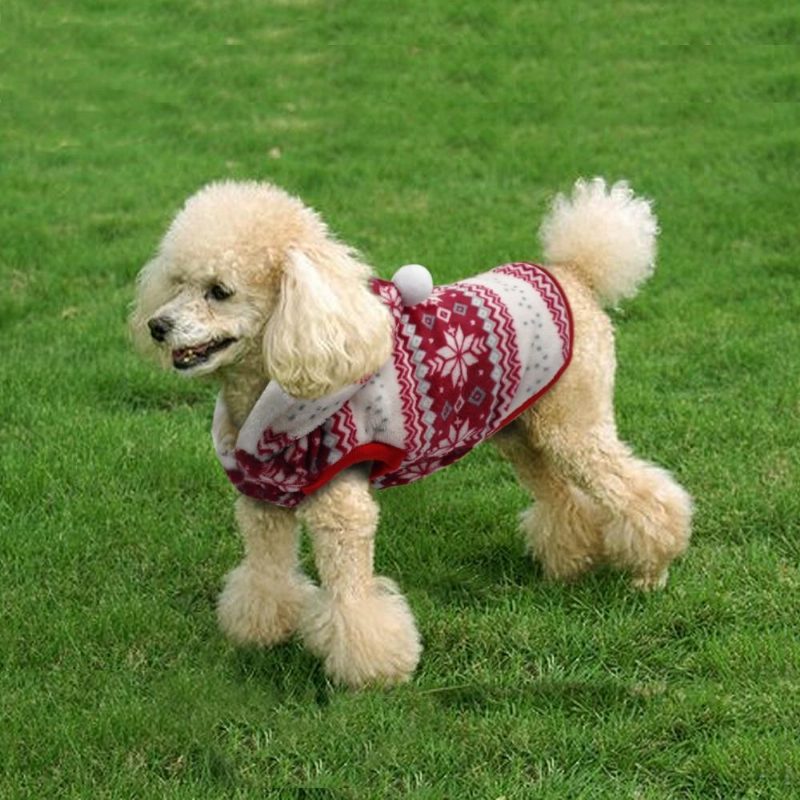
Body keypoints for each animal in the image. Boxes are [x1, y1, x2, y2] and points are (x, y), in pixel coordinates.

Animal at [131, 178, 692, 684]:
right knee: (561, 499)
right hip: (524, 433)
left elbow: (352, 599)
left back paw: (651, 571)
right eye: (176, 282)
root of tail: (575, 272)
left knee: (643, 495)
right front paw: (261, 634)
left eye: (219, 292)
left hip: (573, 426)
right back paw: (568, 565)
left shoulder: (342, 510)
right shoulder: (263, 505)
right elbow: (266, 576)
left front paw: (370, 673)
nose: (157, 326)